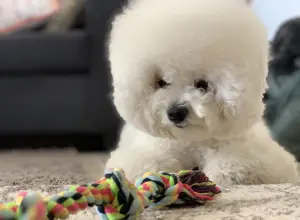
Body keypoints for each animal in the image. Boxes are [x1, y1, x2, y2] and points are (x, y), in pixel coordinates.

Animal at [105, 0, 298, 185]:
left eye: (202, 84)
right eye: (161, 82)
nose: (175, 113)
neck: (193, 140)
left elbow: (239, 162)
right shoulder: (153, 148)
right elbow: (145, 163)